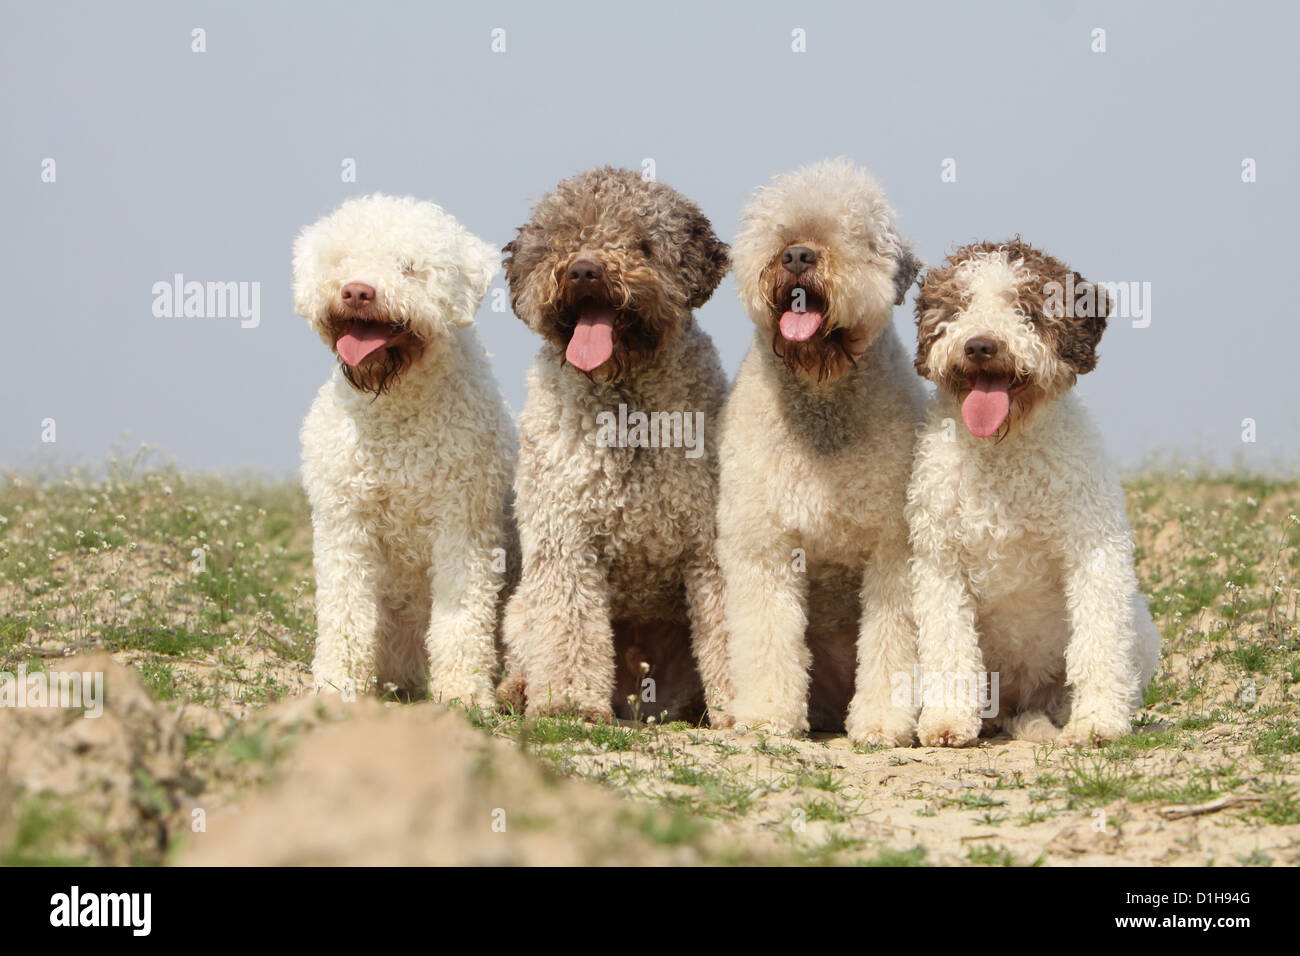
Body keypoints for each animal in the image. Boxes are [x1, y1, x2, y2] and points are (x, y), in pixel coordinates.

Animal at [295, 192, 512, 702]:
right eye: (342, 259)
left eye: (409, 267)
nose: (357, 291)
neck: (396, 411)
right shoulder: (345, 524)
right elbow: (345, 613)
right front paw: (336, 685)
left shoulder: (464, 525)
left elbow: (461, 620)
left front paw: (464, 694)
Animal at [904, 239, 1159, 749]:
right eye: (958, 307)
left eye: (1026, 309)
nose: (981, 345)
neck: (1004, 451)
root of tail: (1018, 704)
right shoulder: (939, 563)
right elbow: (949, 644)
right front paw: (947, 720)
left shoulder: (1094, 551)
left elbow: (1098, 642)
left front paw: (1098, 721)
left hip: (1140, 626)